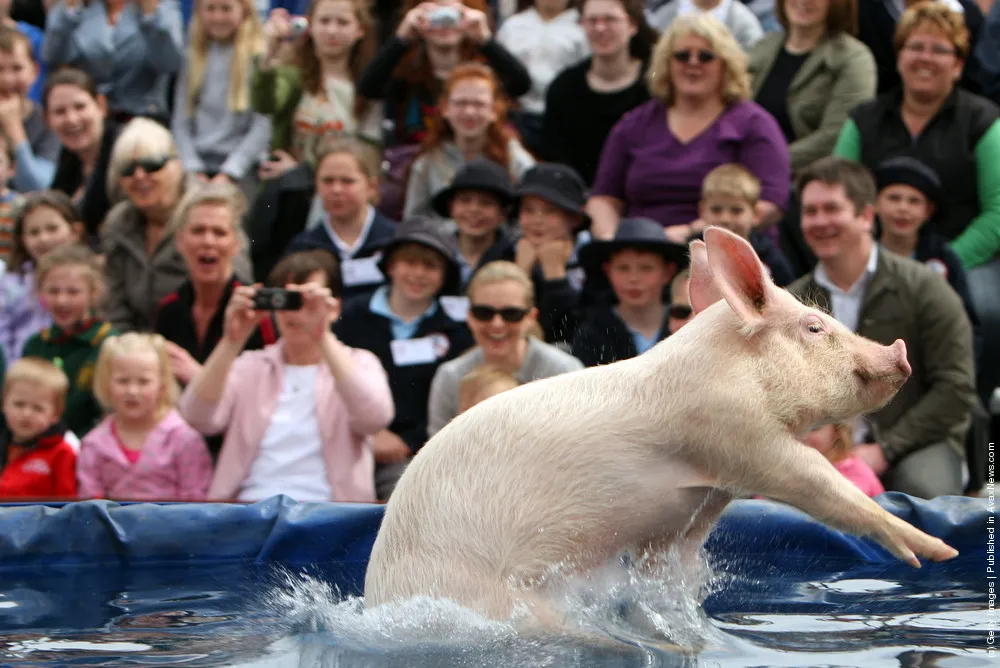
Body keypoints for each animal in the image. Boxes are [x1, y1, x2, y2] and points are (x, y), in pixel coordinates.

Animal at [362, 227, 960, 624]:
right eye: (814, 326)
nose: (898, 352)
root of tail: (379, 593)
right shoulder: (740, 439)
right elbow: (826, 487)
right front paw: (937, 553)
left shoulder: (697, 504)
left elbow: (671, 568)